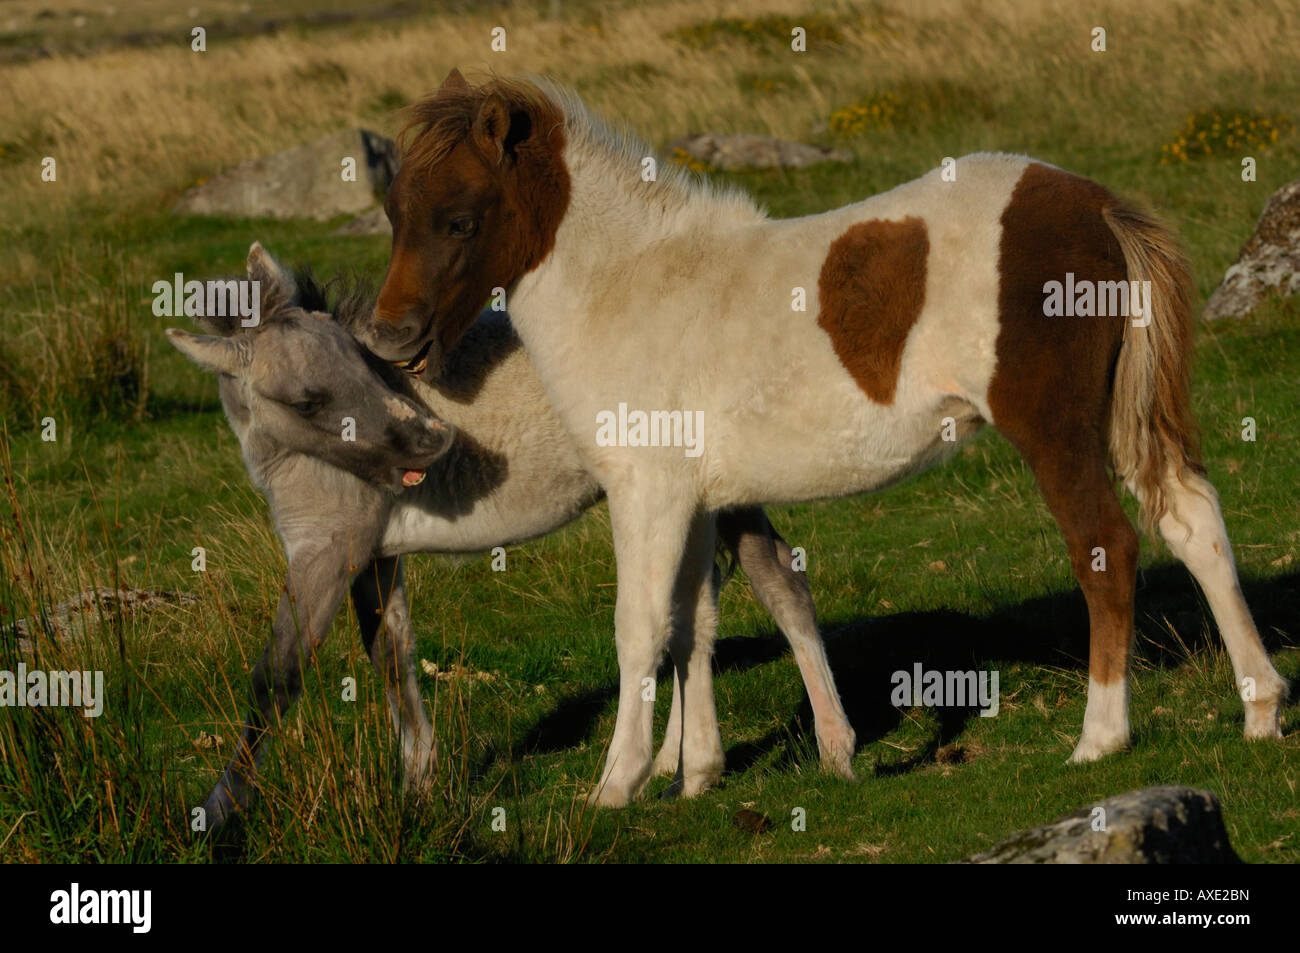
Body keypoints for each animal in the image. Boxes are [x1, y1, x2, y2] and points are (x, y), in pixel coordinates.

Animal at [358, 70, 1289, 806]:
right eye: (394, 211)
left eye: (460, 219)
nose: (390, 340)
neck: (633, 284)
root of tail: (1096, 204)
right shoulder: (700, 499)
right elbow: (692, 623)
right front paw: (695, 773)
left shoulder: (647, 491)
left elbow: (640, 627)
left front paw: (617, 784)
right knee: (1193, 522)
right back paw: (1261, 707)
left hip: (1054, 431)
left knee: (1108, 547)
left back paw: (1100, 737)